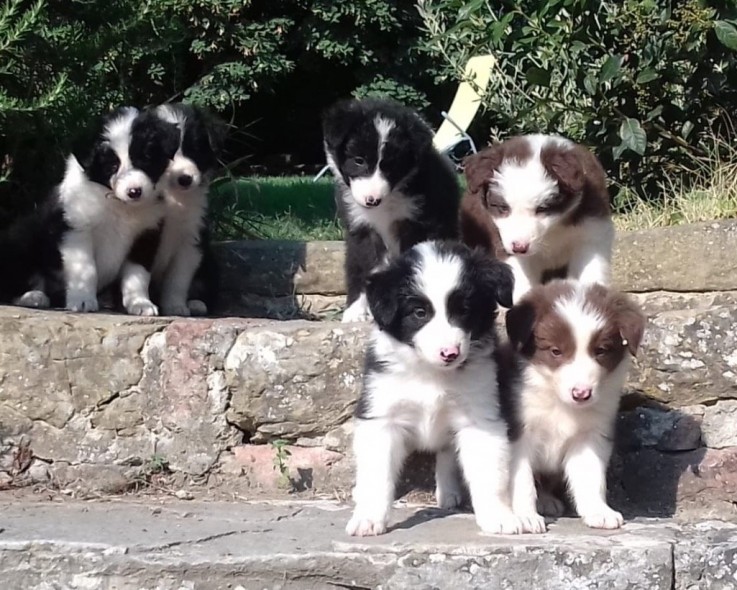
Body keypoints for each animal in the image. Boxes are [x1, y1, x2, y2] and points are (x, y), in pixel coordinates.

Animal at [3, 109, 180, 316]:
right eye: (112, 166)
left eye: (145, 159)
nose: (134, 192)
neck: (120, 205)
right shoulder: (77, 230)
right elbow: (86, 269)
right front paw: (82, 301)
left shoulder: (146, 236)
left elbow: (137, 275)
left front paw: (140, 303)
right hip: (22, 241)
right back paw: (33, 297)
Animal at [324, 97, 460, 324]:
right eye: (359, 160)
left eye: (391, 166)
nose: (372, 200)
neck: (387, 203)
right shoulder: (362, 228)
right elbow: (363, 267)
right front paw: (355, 311)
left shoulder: (417, 224)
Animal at [344, 239, 528, 536]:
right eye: (419, 313)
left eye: (464, 310)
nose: (450, 353)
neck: (431, 373)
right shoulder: (381, 415)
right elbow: (377, 473)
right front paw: (368, 518)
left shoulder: (481, 415)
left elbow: (489, 473)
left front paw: (499, 516)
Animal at [462, 135, 612, 306]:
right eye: (503, 208)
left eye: (542, 208)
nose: (519, 248)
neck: (554, 229)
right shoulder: (504, 244)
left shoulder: (591, 234)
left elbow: (591, 271)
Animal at [500, 280, 644, 536]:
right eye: (556, 351)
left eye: (601, 351)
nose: (581, 394)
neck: (559, 402)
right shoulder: (518, 432)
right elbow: (522, 479)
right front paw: (526, 517)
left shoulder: (590, 435)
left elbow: (590, 476)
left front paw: (599, 512)